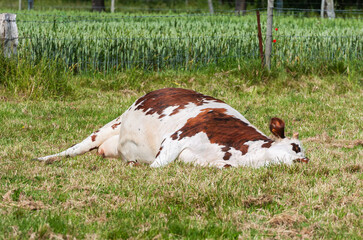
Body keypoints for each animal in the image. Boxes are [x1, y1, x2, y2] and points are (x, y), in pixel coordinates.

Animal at [34, 87, 310, 168]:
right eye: (295, 146)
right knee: (75, 148)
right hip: (112, 124)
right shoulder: (175, 140)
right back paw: (44, 158)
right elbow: (156, 166)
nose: (304, 161)